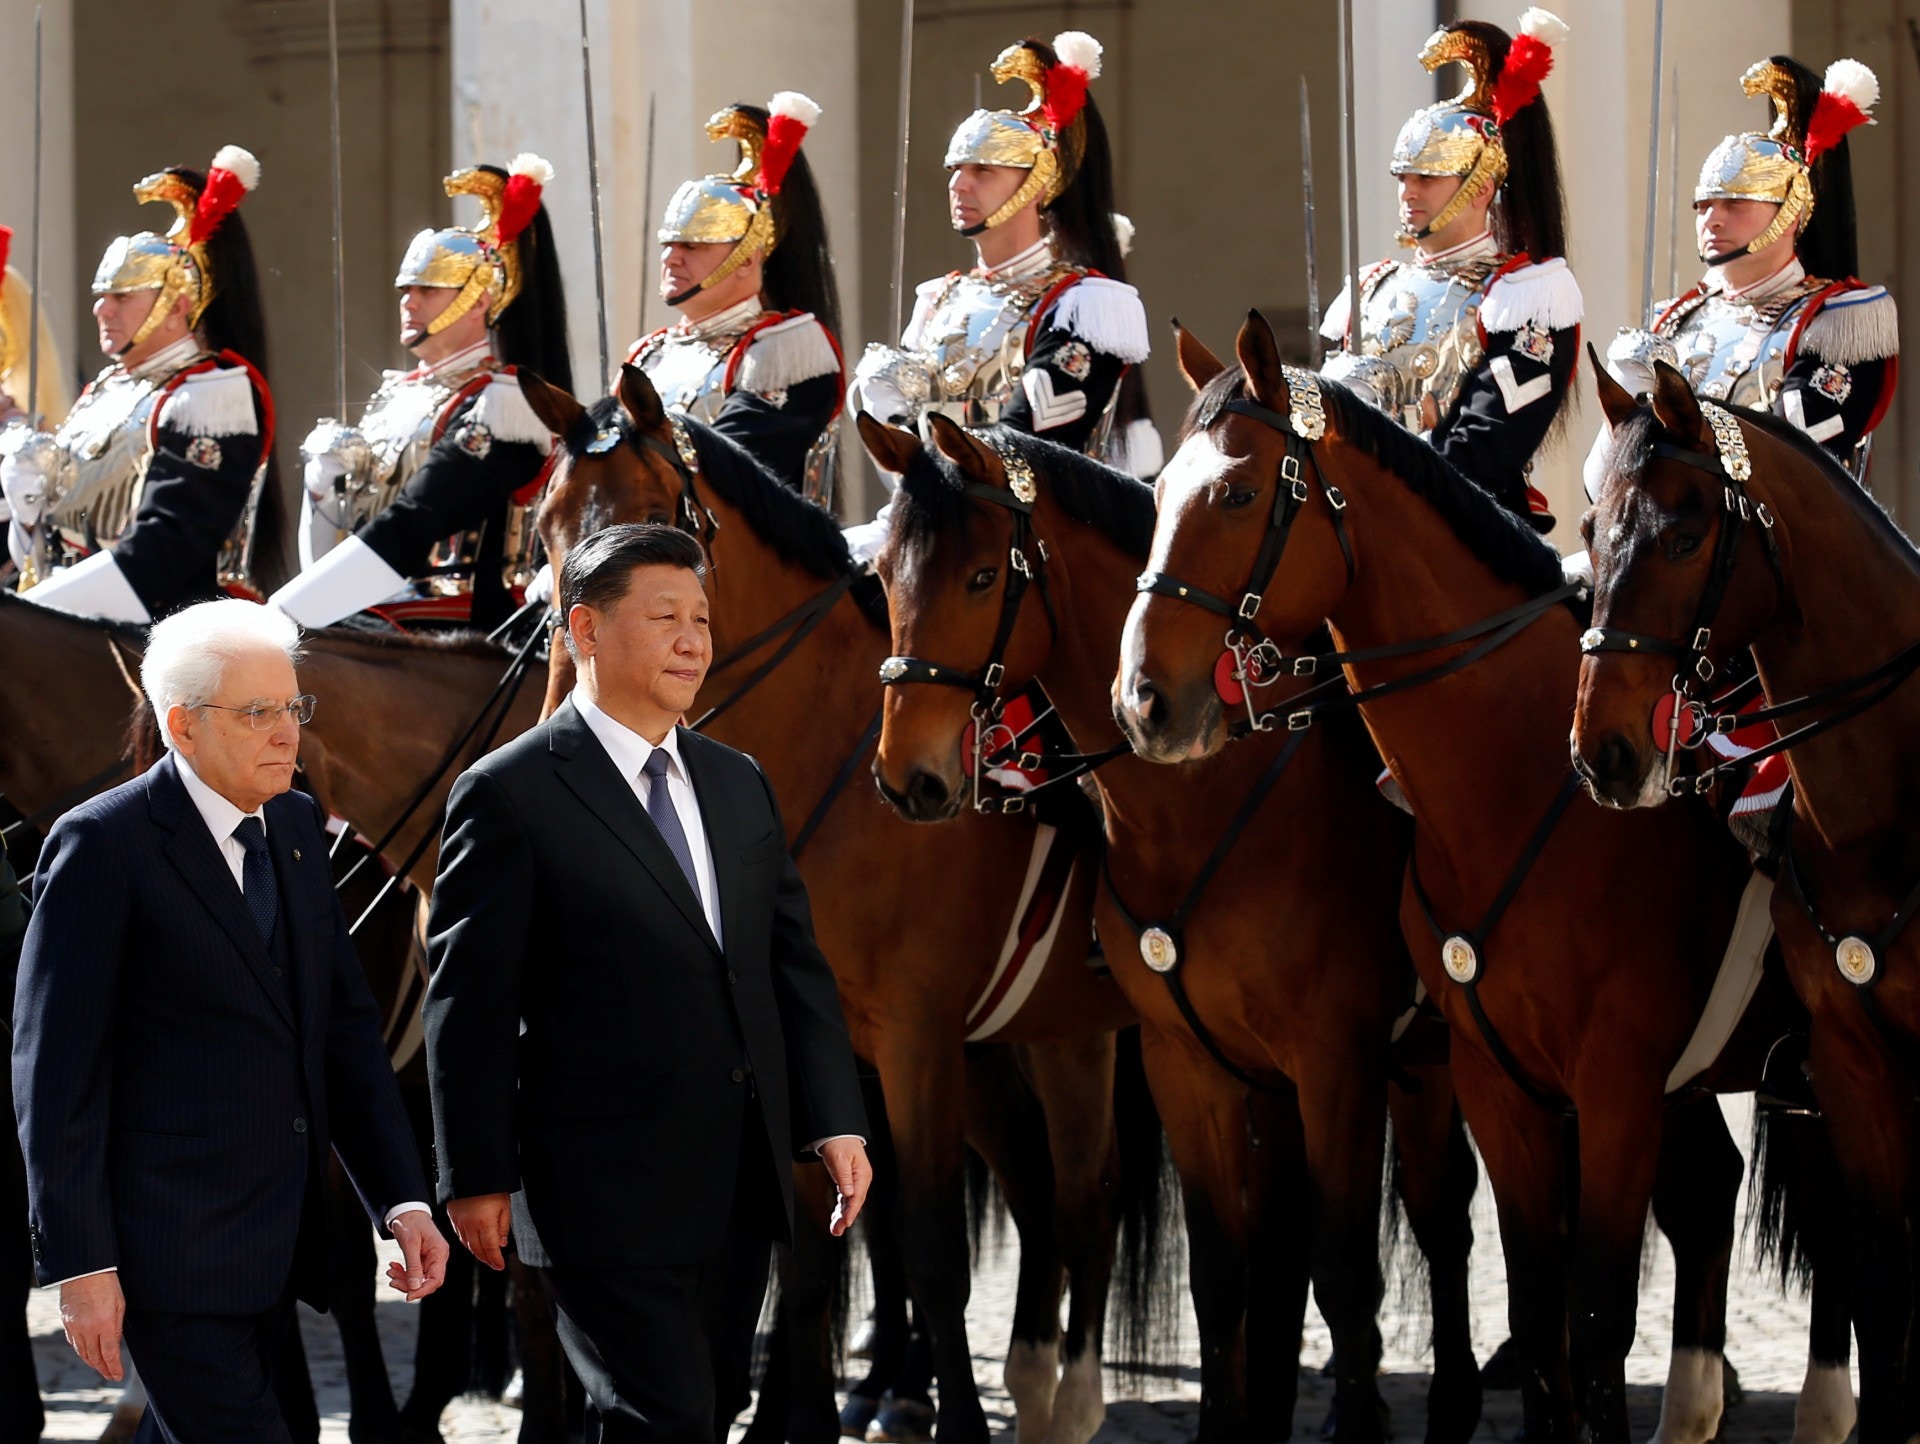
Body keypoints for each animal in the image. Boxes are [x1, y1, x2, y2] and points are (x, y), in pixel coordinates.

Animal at [514, 362, 1152, 1444]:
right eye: (550, 529)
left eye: (654, 517)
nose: (570, 697)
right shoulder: (811, 1037)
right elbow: (810, 1248)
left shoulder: (914, 1039)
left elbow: (929, 1247)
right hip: (1017, 1039)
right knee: (1043, 1192)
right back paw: (1032, 1376)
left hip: (1068, 1035)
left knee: (1087, 1196)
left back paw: (1065, 1393)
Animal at [860, 409, 1482, 1444]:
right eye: (881, 577)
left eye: (982, 577)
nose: (908, 777)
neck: (1206, 801)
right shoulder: (1182, 1060)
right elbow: (1225, 1272)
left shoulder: (1338, 1062)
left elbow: (1345, 1270)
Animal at [1113, 312, 1812, 1444]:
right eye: (1159, 491)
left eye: (1236, 495)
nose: (1144, 701)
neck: (1519, 779)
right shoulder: (1479, 1077)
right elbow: (1527, 1300)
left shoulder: (1598, 1080)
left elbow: (1579, 1306)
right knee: (1708, 1192)